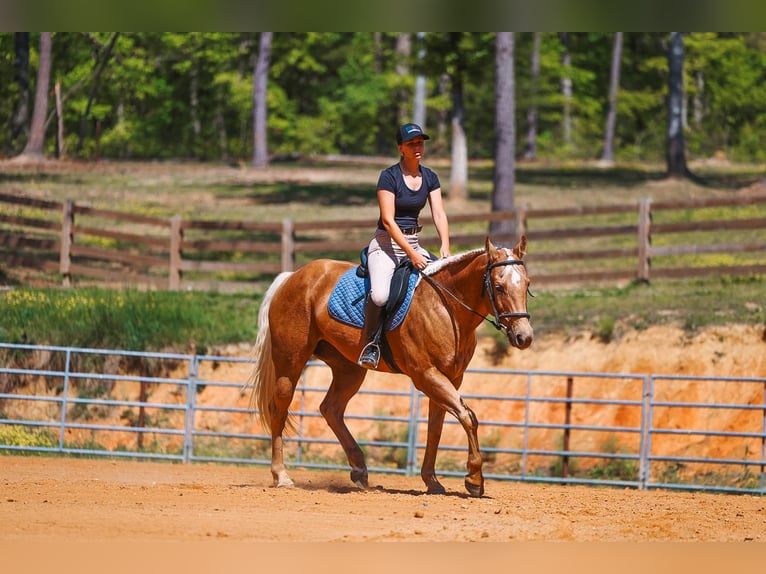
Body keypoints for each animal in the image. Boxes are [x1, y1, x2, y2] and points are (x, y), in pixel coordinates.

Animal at [249, 236, 533, 497]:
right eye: (499, 287)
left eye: (527, 285)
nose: (525, 337)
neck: (445, 306)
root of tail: (292, 277)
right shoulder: (426, 375)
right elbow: (468, 417)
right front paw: (474, 479)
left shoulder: (451, 378)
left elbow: (436, 428)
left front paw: (432, 481)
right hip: (290, 363)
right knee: (280, 409)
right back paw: (282, 476)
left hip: (349, 369)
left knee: (331, 409)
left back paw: (360, 470)